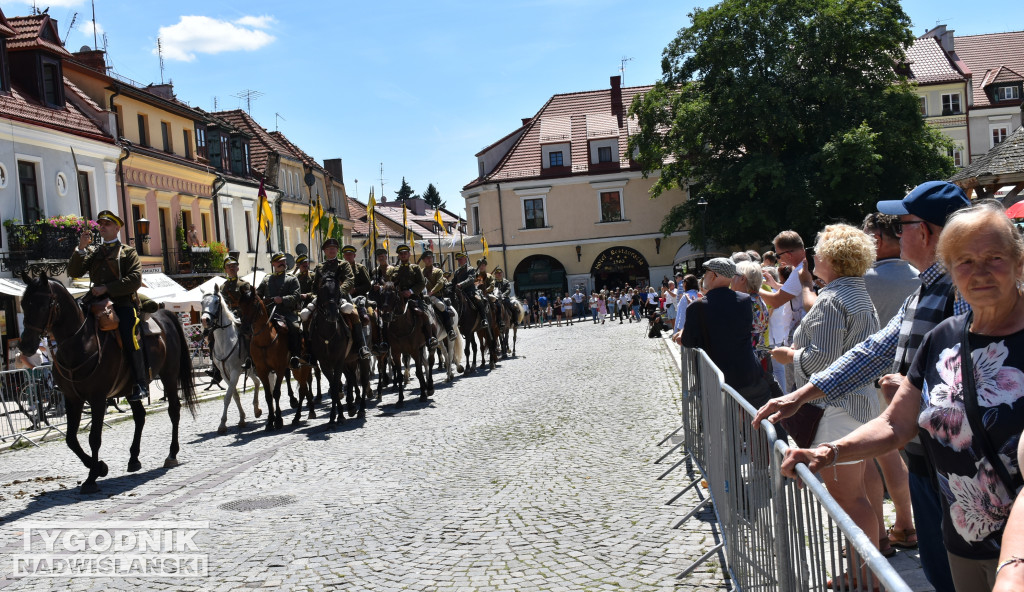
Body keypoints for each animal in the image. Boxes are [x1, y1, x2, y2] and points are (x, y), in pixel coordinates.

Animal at [18, 272, 196, 493]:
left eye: (43, 305)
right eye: (23, 304)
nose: (25, 345)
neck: (80, 342)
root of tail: (164, 314)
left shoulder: (98, 398)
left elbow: (94, 437)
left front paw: (92, 477)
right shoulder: (72, 399)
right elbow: (71, 439)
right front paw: (99, 467)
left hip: (169, 375)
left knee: (174, 410)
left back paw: (171, 454)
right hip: (131, 388)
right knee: (140, 416)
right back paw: (133, 458)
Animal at [197, 288, 266, 434]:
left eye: (216, 302)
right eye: (201, 302)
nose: (205, 320)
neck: (225, 342)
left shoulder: (235, 372)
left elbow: (228, 396)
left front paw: (222, 424)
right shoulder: (225, 374)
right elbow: (234, 395)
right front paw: (242, 419)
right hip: (249, 369)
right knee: (257, 382)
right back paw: (256, 409)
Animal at [309, 274, 370, 421]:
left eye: (337, 290)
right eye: (322, 290)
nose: (332, 314)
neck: (327, 335)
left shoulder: (338, 361)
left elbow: (336, 384)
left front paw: (337, 416)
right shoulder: (325, 364)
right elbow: (334, 386)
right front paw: (338, 415)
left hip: (362, 358)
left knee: (363, 380)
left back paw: (361, 409)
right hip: (348, 361)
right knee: (351, 377)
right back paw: (351, 406)